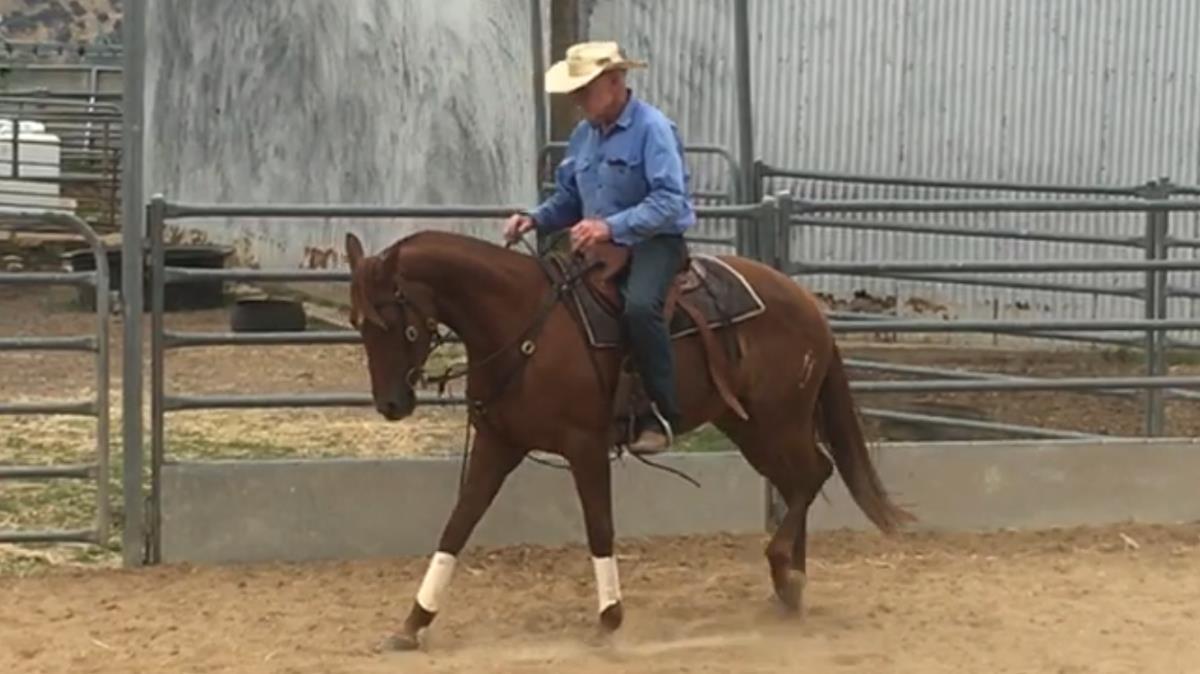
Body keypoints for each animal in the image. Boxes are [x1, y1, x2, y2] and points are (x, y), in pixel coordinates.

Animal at [343, 228, 914, 651]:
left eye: (393, 320)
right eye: (357, 323)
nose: (391, 404)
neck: (523, 324)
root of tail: (806, 301)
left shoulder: (585, 446)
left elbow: (600, 528)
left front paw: (611, 618)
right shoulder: (497, 445)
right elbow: (456, 526)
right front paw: (413, 622)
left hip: (781, 418)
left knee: (813, 474)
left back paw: (787, 575)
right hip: (750, 425)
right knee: (797, 479)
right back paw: (789, 587)